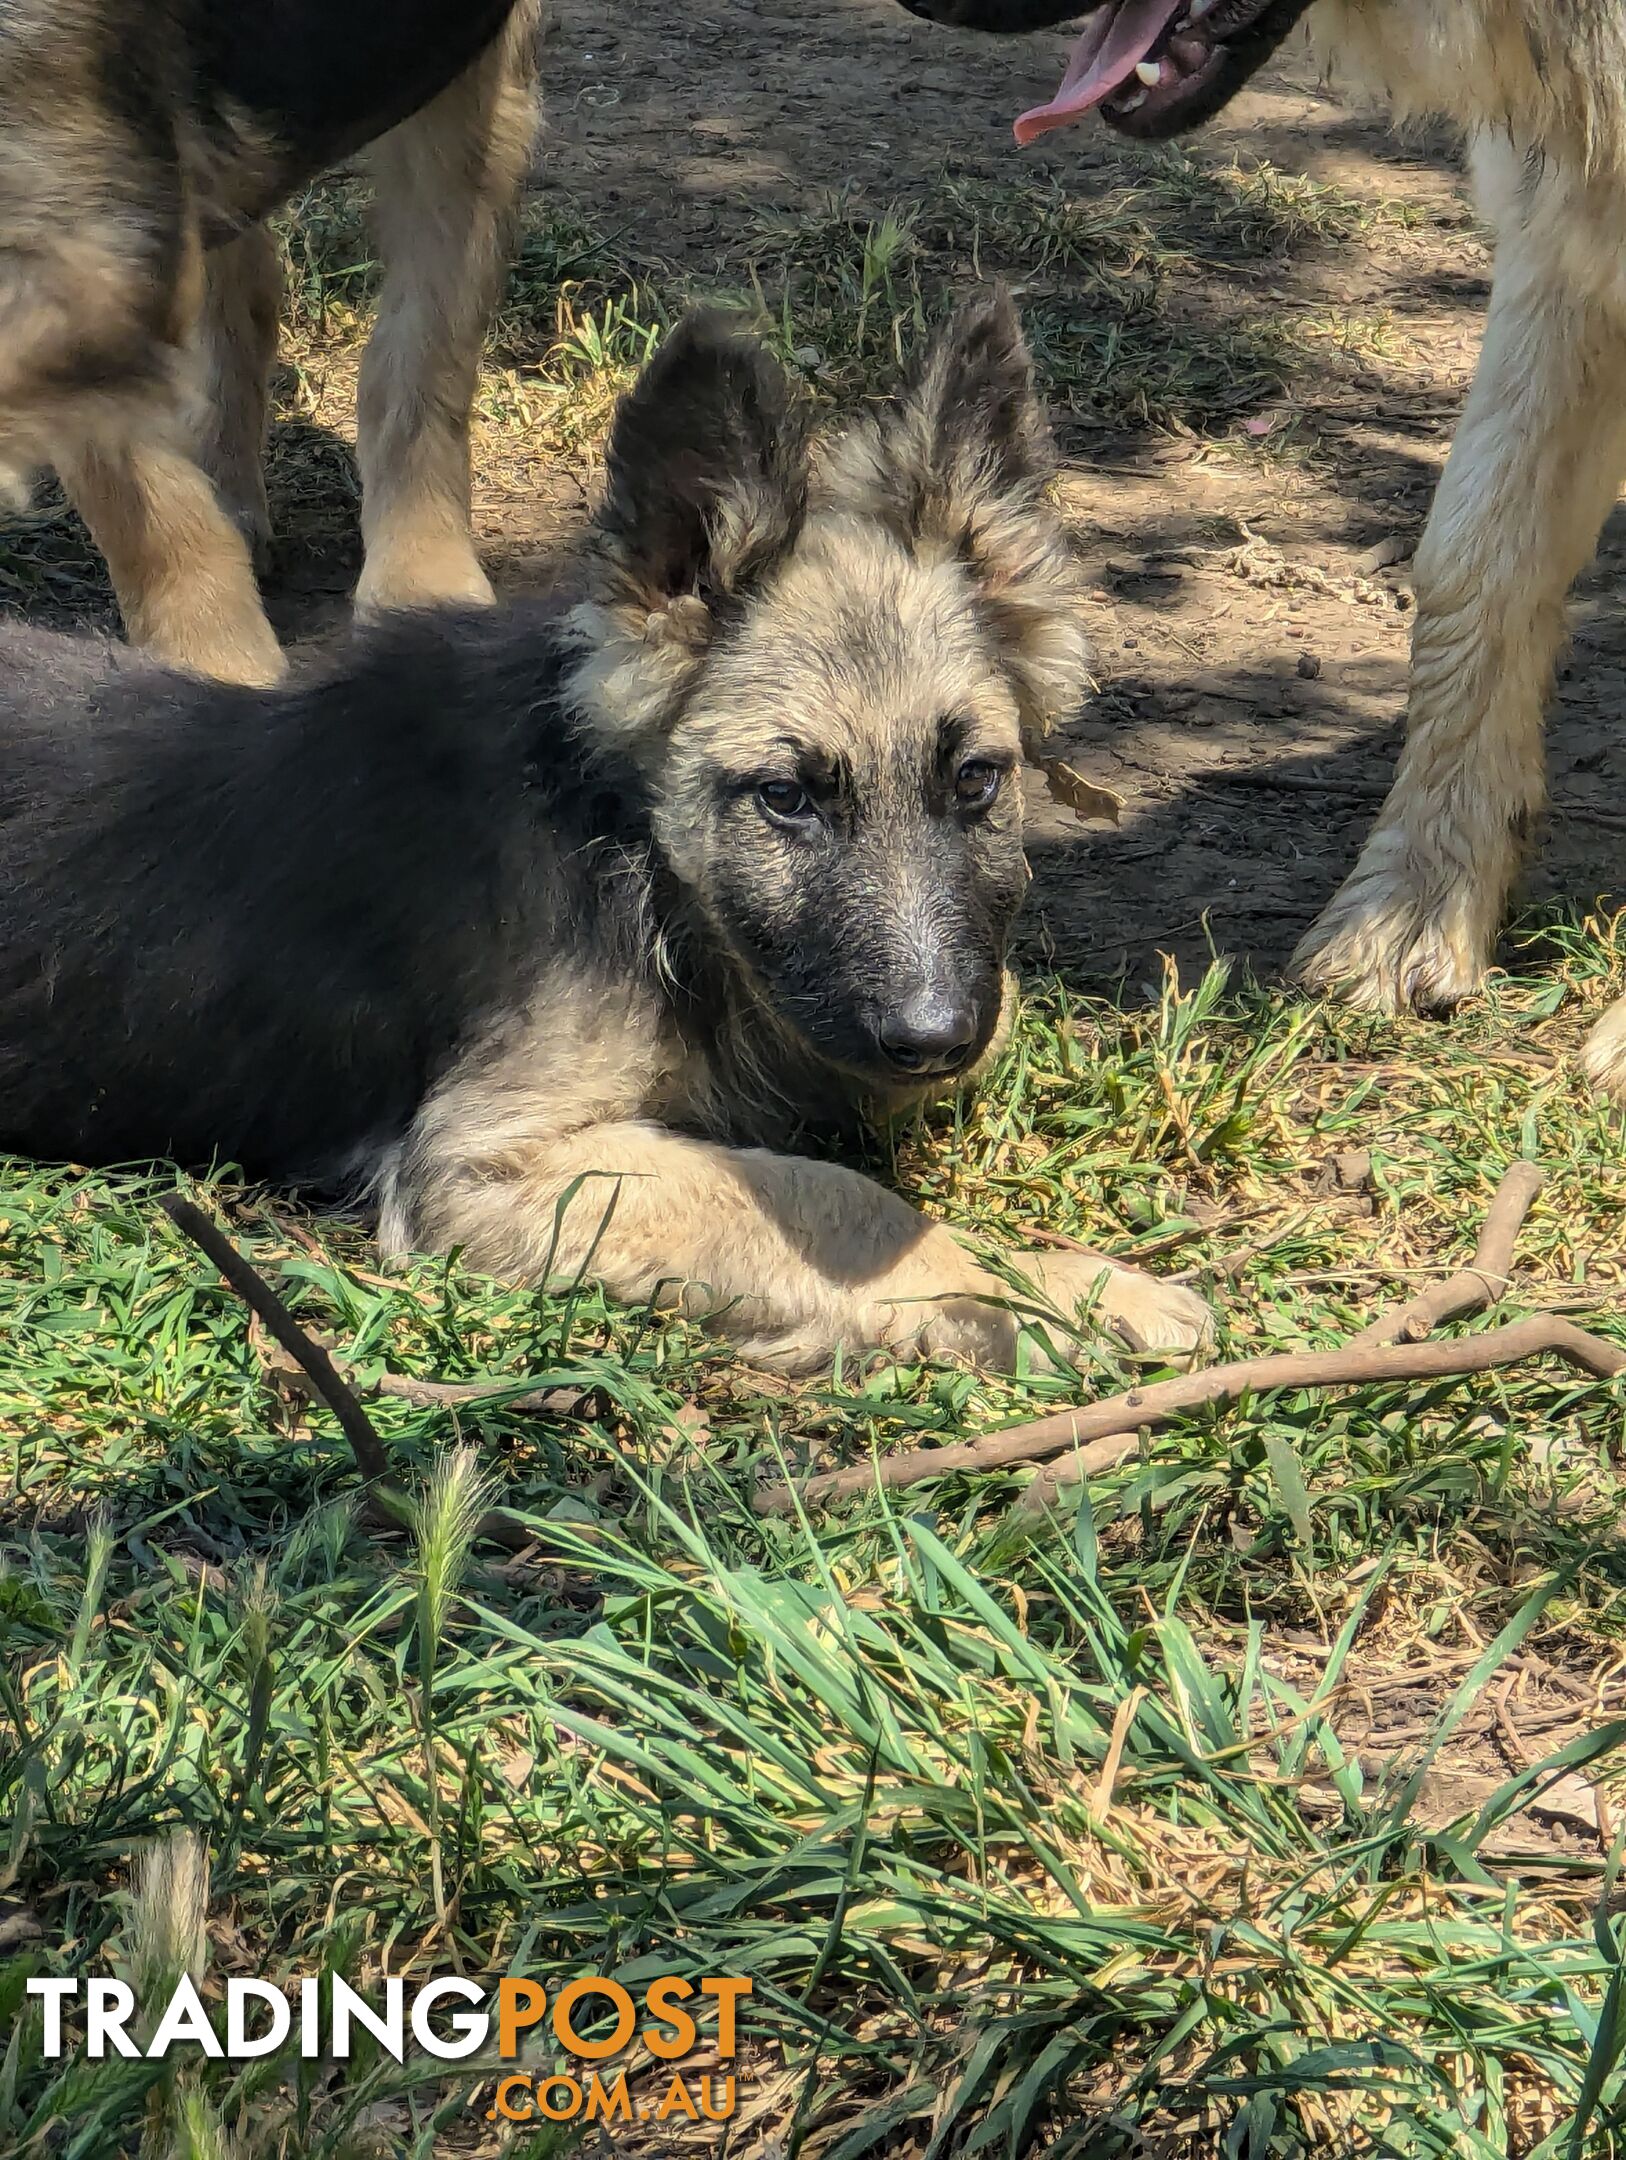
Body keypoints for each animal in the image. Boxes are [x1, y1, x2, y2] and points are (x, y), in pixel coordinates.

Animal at [0, 295, 1209, 1373]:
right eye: (787, 797)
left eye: (974, 780)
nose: (935, 1037)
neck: (624, 846)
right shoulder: (492, 1161)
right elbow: (827, 1196)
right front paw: (1057, 1290)